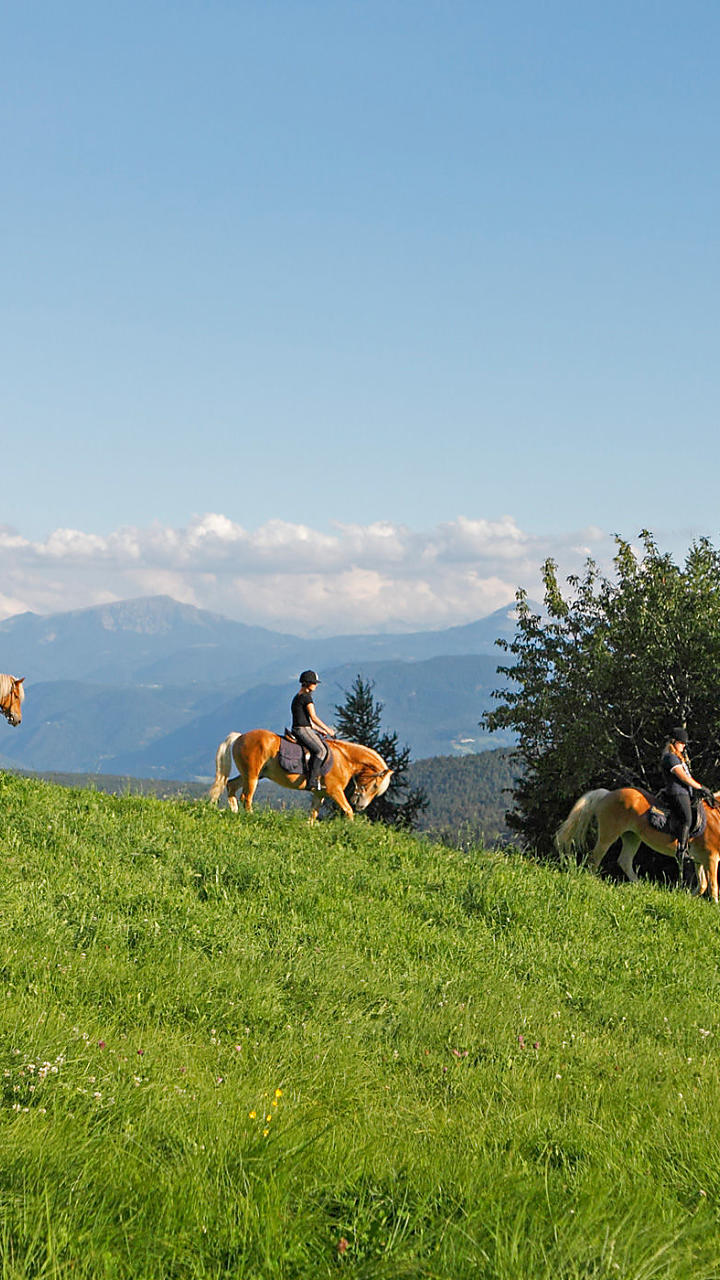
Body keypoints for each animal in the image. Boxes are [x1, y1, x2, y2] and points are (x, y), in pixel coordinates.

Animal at [207, 727, 392, 824]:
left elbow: (313, 814)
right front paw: (351, 827)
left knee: (231, 785)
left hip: (252, 774)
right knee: (246, 796)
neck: (344, 758)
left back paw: (234, 812)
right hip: (252, 776)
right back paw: (250, 816)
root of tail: (239, 737)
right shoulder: (334, 791)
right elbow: (347, 810)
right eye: (375, 785)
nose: (361, 805)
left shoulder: (319, 793)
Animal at [548, 783, 717, 906]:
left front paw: (688, 897)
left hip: (632, 837)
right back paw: (592, 880)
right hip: (609, 835)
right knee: (595, 857)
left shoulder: (700, 860)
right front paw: (714, 905)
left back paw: (639, 885)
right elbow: (713, 885)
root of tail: (607, 794)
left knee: (624, 861)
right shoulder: (711, 858)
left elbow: (703, 884)